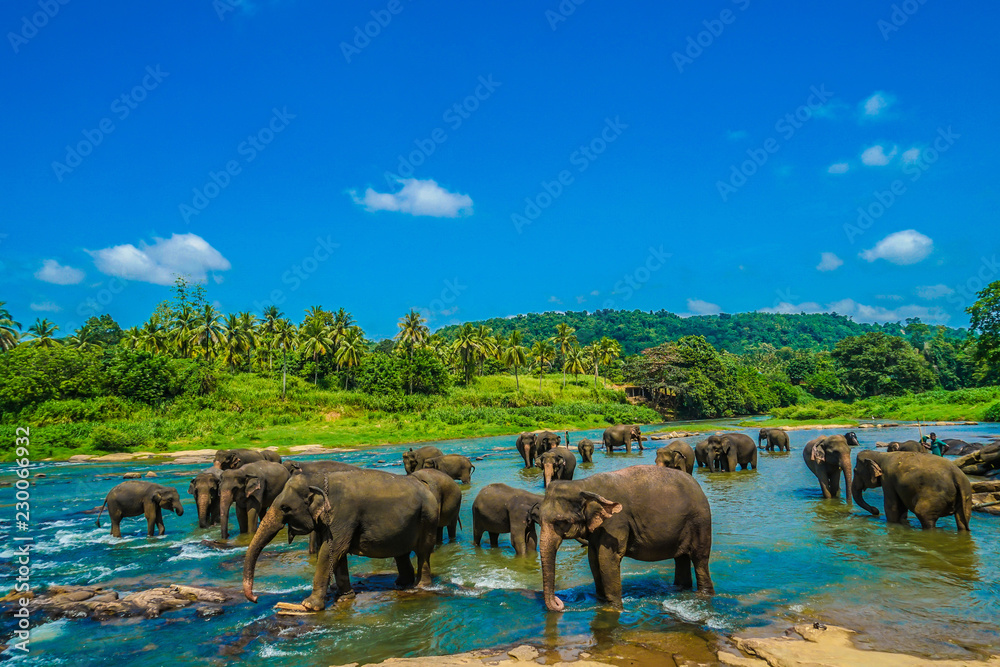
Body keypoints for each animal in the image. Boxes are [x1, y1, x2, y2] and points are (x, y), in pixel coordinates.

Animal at [243, 469, 439, 611]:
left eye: (285, 508)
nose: (256, 599)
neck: (318, 478)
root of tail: (427, 488)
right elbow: (336, 552)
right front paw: (345, 597)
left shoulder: (342, 514)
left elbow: (332, 549)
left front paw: (309, 605)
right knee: (401, 553)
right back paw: (401, 585)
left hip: (427, 517)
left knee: (423, 552)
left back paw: (419, 587)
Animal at [537, 465, 713, 612]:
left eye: (562, 522)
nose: (560, 602)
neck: (583, 485)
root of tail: (698, 486)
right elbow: (593, 557)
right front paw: (601, 601)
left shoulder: (616, 522)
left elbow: (607, 558)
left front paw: (615, 608)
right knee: (681, 558)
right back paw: (680, 590)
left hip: (700, 522)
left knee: (700, 559)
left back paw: (704, 595)